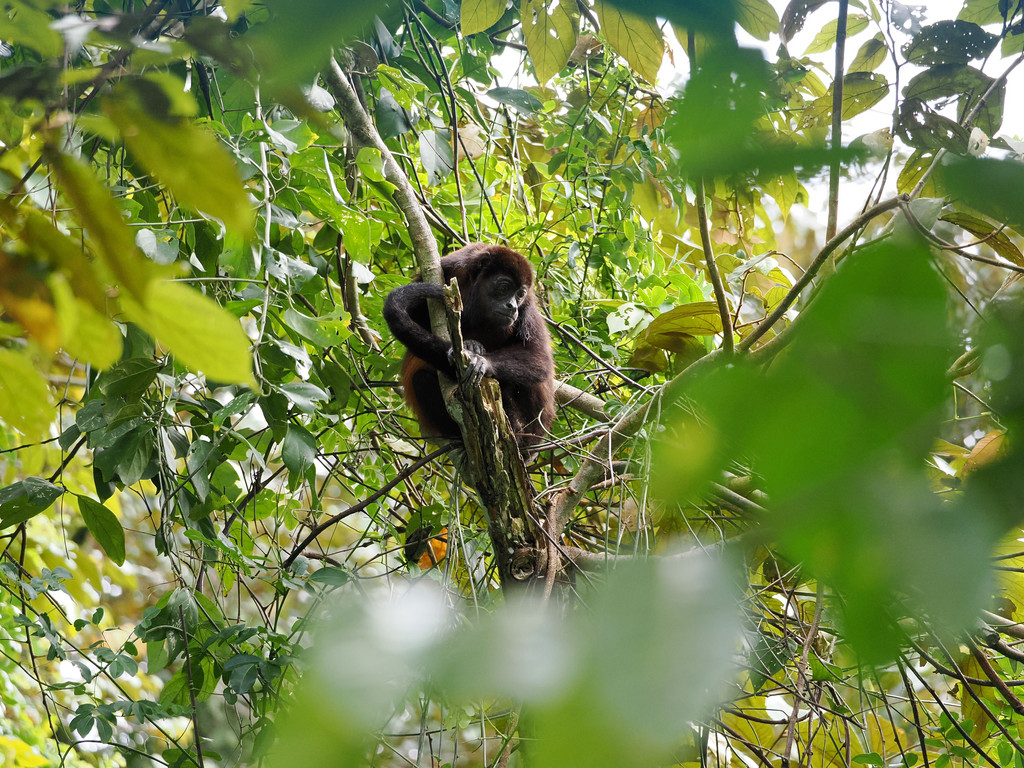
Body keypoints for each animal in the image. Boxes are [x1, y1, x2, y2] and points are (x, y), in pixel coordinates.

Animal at [385, 244, 557, 450]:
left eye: (520, 294)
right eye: (504, 287)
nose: (512, 306)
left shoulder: (528, 305)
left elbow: (539, 358)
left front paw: (481, 361)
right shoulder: (450, 267)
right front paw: (471, 346)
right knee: (421, 379)